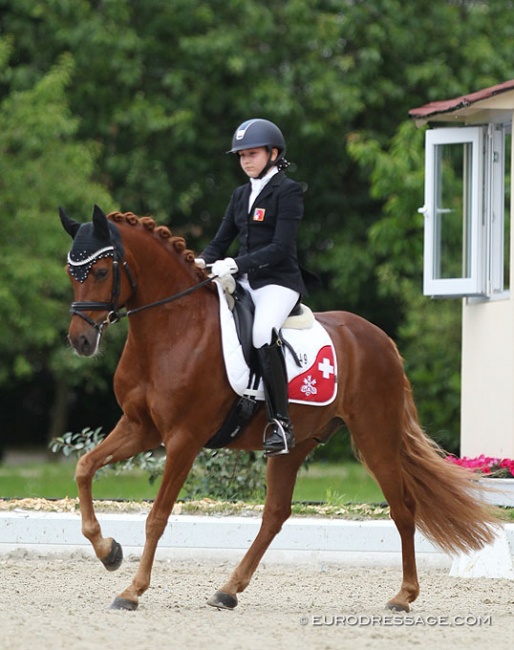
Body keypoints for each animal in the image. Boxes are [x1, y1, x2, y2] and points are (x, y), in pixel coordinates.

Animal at [60, 205, 496, 612]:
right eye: (71, 272)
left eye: (101, 271)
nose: (80, 340)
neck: (172, 330)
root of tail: (382, 340)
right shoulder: (140, 427)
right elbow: (84, 468)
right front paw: (108, 551)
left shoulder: (184, 438)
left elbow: (157, 516)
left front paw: (131, 590)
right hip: (295, 445)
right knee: (275, 514)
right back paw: (228, 590)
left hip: (375, 436)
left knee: (403, 508)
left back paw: (403, 596)